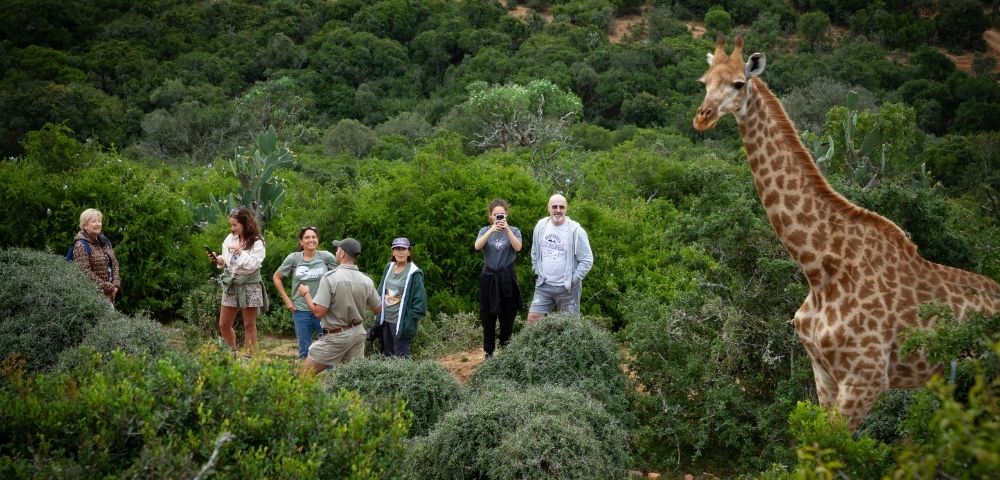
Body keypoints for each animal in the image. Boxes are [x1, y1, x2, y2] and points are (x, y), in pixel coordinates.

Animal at [692, 33, 1000, 428]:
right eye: (704, 82)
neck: (819, 268)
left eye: (738, 83)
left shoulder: (866, 378)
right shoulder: (823, 373)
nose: (703, 117)